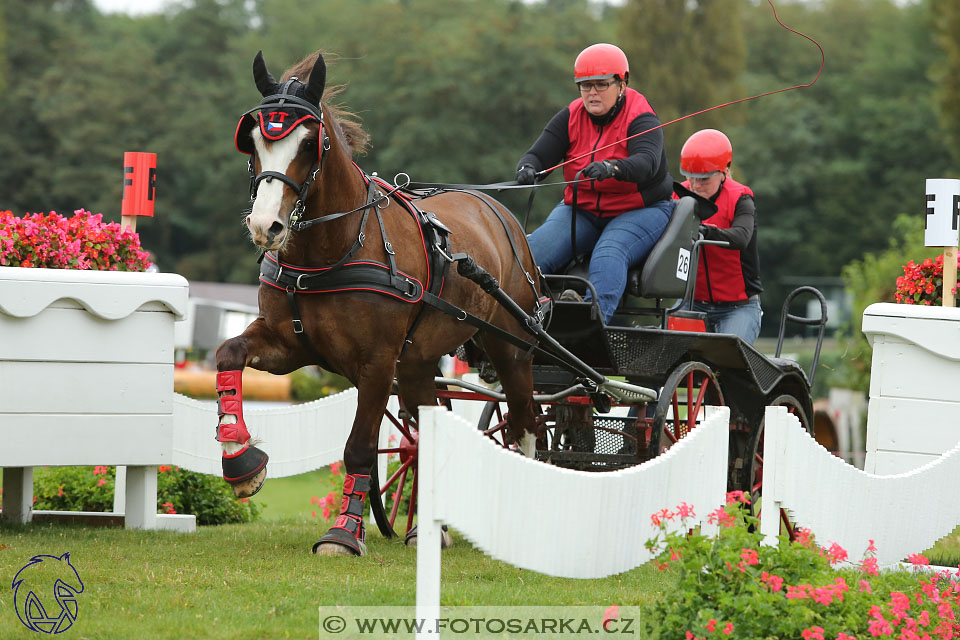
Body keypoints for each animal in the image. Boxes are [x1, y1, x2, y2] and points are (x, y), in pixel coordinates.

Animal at [218, 48, 548, 556]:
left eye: (310, 143)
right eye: (253, 140)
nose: (265, 226)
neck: (334, 249)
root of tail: (500, 212)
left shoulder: (376, 362)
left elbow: (359, 446)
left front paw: (342, 533)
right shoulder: (286, 345)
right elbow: (227, 353)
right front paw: (240, 460)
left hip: (510, 348)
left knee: (524, 423)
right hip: (418, 363)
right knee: (429, 431)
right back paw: (427, 529)